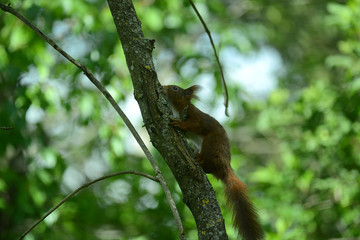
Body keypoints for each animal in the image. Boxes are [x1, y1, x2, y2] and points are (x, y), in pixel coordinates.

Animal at [163, 84, 264, 240]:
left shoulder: (195, 116)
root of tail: (226, 167)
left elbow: (194, 125)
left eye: (174, 88)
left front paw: (178, 123)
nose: (163, 87)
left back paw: (199, 159)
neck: (177, 106)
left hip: (211, 143)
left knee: (209, 164)